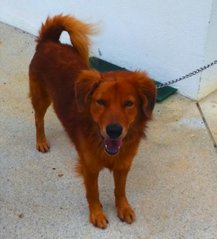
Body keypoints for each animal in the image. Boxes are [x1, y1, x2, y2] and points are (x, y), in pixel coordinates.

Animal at [29, 14, 156, 228]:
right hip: (41, 98)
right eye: (101, 102)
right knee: (38, 119)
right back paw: (41, 141)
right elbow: (93, 193)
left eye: (129, 103)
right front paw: (97, 213)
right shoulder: (89, 168)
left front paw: (123, 208)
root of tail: (49, 42)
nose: (114, 130)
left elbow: (120, 190)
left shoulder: (123, 165)